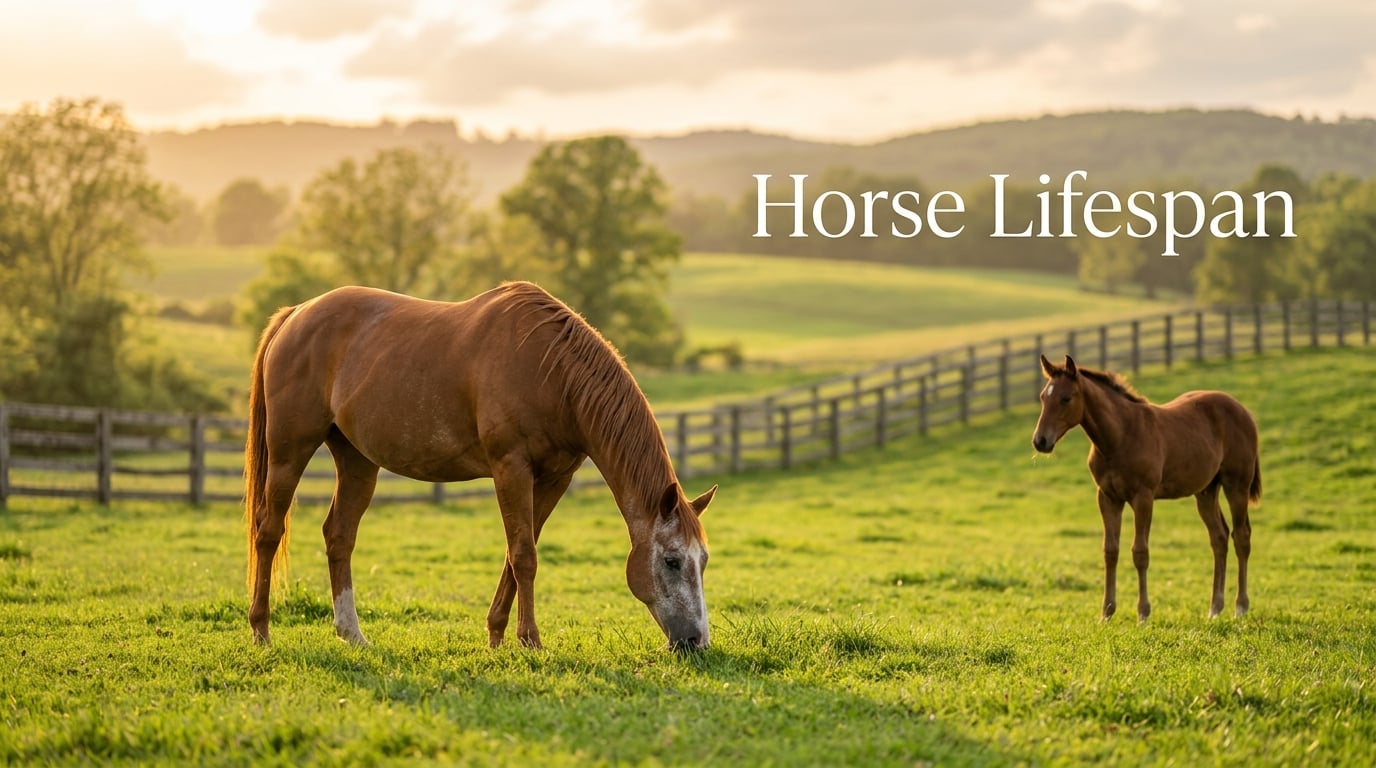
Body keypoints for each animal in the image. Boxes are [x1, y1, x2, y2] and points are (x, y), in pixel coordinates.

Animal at [244, 282, 716, 651]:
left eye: (704, 561)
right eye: (672, 560)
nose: (696, 641)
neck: (551, 371)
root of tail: (295, 314)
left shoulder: (555, 478)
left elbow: (519, 551)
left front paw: (496, 635)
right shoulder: (511, 468)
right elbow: (524, 555)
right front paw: (529, 640)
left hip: (357, 461)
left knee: (339, 536)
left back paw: (352, 633)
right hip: (289, 451)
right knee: (269, 530)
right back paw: (261, 630)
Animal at [1031, 354, 1261, 621]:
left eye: (1066, 398)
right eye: (1043, 397)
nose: (1040, 441)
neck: (1119, 437)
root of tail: (1243, 410)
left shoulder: (1143, 497)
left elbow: (1140, 552)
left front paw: (1143, 613)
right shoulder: (1107, 497)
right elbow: (1110, 551)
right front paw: (1106, 613)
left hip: (1237, 485)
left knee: (1241, 536)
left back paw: (1240, 607)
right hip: (1206, 491)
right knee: (1219, 538)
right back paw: (1214, 609)